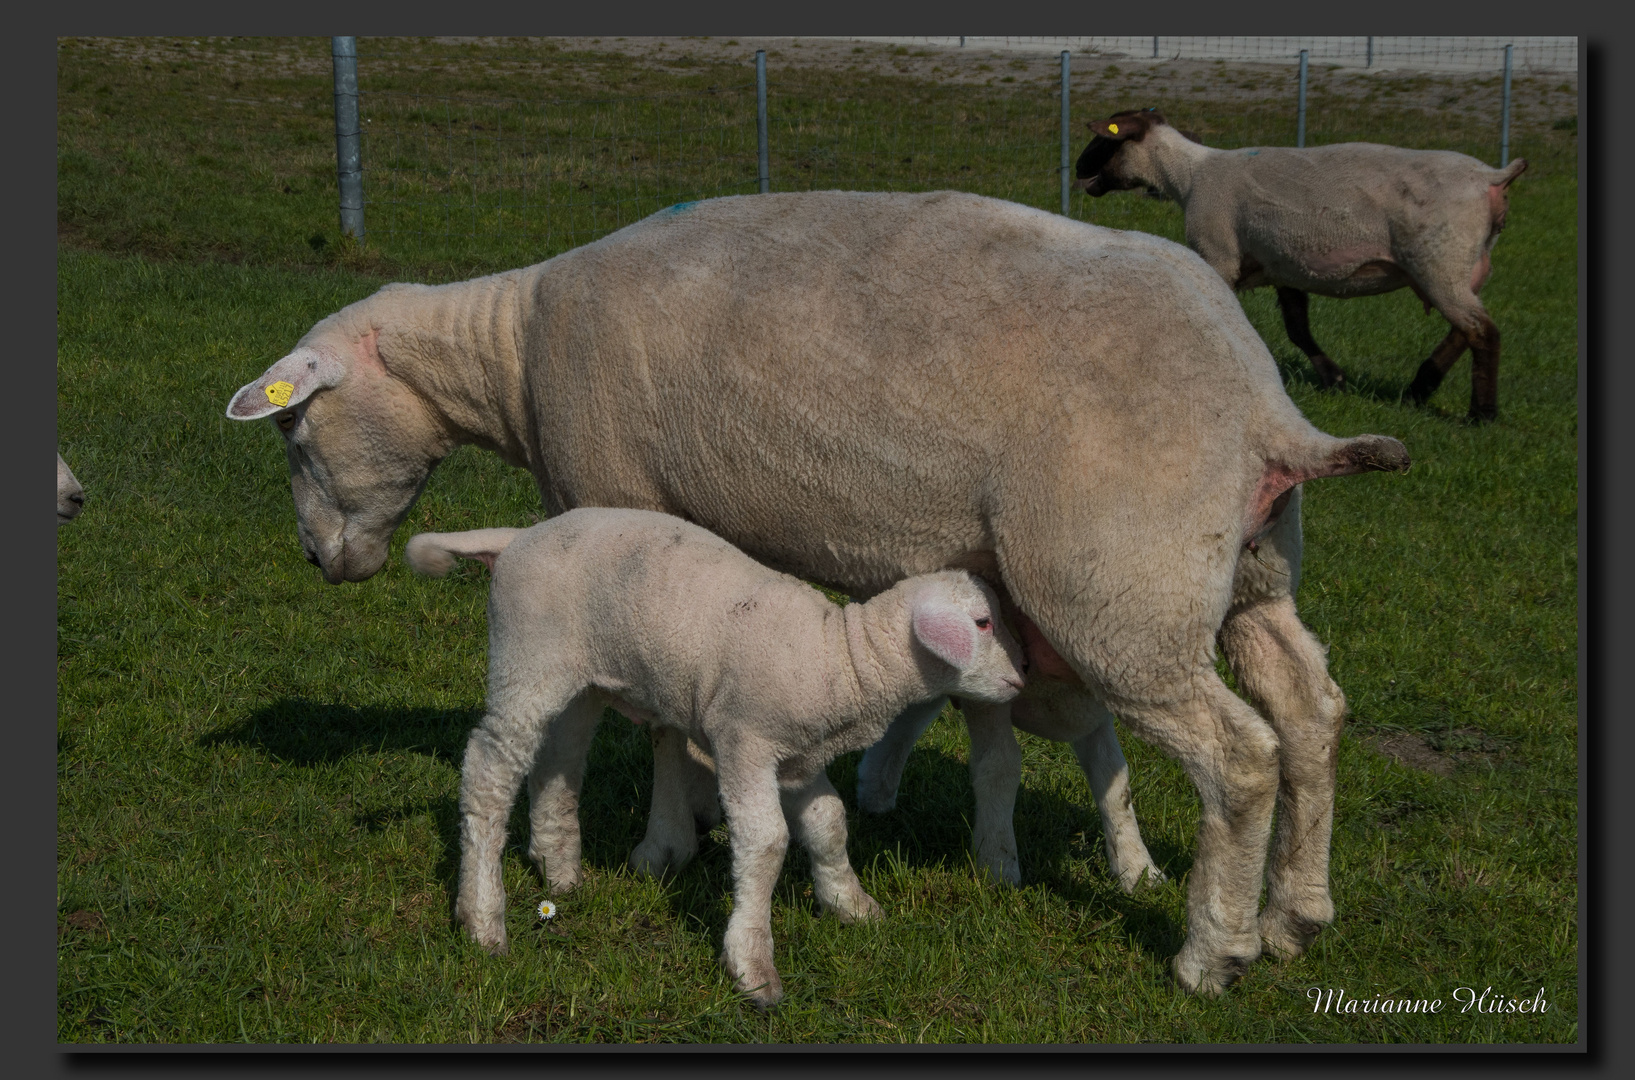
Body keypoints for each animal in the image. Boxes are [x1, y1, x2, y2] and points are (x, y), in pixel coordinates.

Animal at [405, 509, 1020, 1006]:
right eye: (983, 623)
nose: (1021, 680)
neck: (840, 659)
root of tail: (519, 536)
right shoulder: (743, 741)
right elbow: (766, 842)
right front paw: (752, 964)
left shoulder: (795, 760)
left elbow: (828, 823)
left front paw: (850, 904)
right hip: (526, 656)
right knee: (489, 767)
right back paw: (482, 918)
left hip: (580, 679)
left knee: (559, 760)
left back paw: (560, 871)